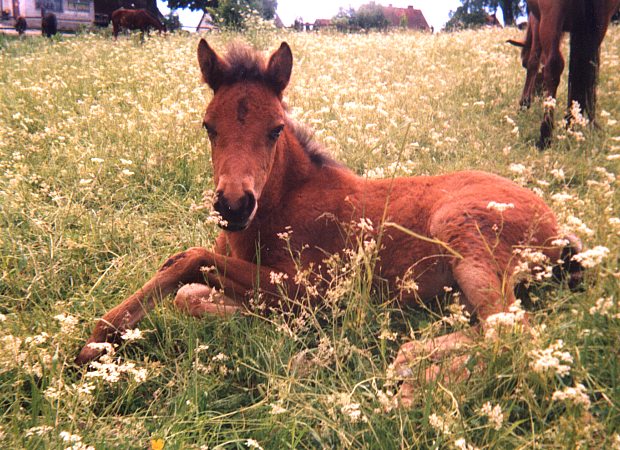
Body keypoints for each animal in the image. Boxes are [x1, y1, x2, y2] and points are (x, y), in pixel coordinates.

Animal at [75, 39, 584, 398]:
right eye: (208, 126)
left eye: (275, 129)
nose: (233, 205)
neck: (282, 204)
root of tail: (561, 231)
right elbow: (189, 293)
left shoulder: (312, 291)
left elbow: (189, 258)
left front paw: (98, 338)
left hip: (461, 230)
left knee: (512, 334)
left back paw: (412, 379)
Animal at [508, 0, 620, 149]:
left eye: (523, 64)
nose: (537, 95)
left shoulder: (536, 19)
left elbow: (534, 60)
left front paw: (524, 105)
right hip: (601, 20)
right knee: (590, 68)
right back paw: (580, 124)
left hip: (552, 13)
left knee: (554, 65)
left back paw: (545, 135)